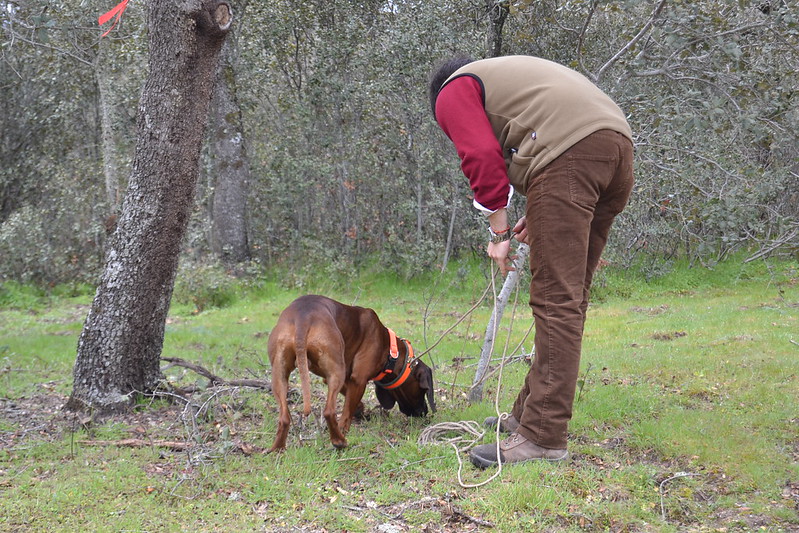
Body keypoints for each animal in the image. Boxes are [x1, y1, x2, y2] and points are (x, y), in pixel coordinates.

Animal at [266, 294, 434, 450]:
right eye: (422, 390)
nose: (425, 412)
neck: (391, 350)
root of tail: (303, 317)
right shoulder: (358, 380)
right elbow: (347, 411)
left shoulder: (337, 378)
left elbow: (351, 400)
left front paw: (360, 410)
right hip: (335, 373)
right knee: (329, 412)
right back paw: (339, 441)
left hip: (280, 376)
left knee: (284, 418)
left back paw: (277, 448)